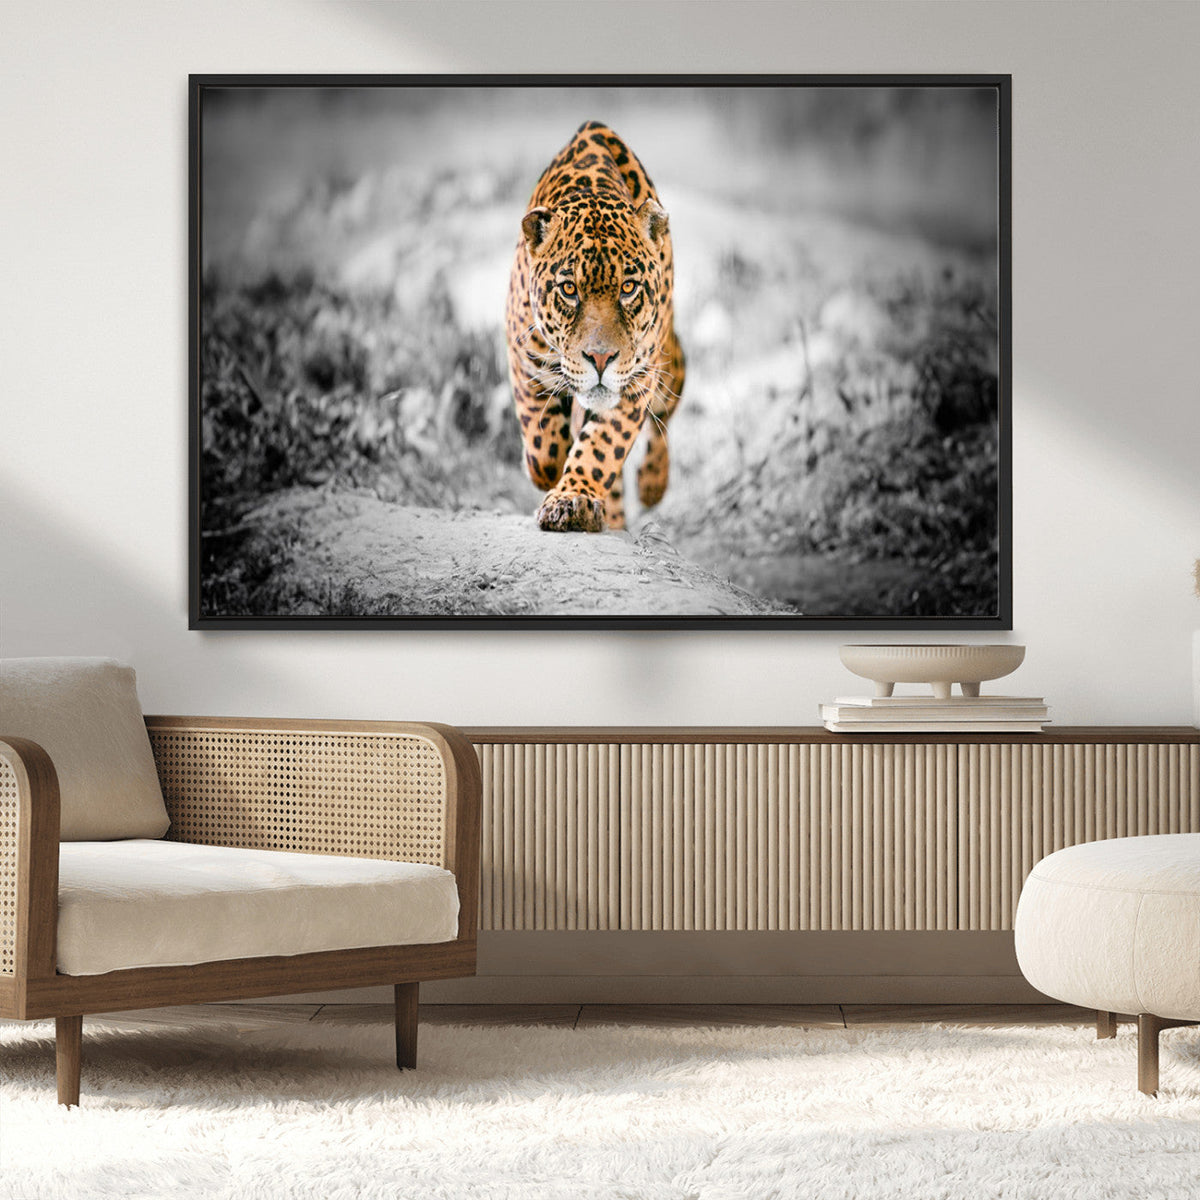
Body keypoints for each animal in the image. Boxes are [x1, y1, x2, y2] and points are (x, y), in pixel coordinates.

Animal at [505, 121, 685, 533]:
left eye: (629, 288)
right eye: (569, 289)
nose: (601, 359)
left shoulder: (637, 379)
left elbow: (602, 446)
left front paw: (572, 499)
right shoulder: (524, 357)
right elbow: (543, 445)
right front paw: (549, 472)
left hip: (669, 364)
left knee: (665, 416)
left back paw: (651, 484)